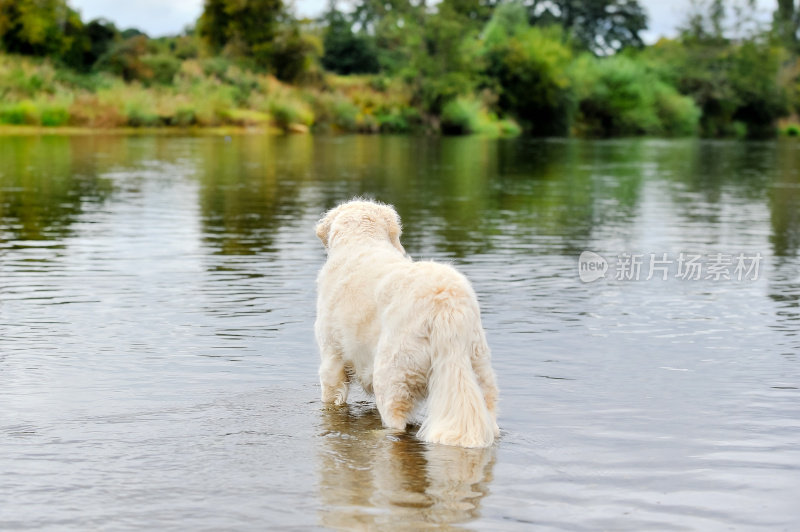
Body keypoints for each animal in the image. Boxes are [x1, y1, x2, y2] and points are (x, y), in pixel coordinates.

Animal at [314, 197, 496, 446]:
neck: (362, 242)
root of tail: (447, 306)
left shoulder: (332, 357)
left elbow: (330, 396)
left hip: (392, 375)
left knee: (397, 423)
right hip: (478, 368)